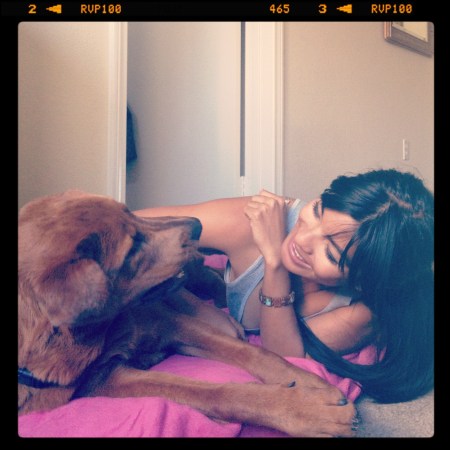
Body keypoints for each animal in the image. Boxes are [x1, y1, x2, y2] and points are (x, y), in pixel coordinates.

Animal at [18, 190, 356, 437]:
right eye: (131, 248)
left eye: (129, 211)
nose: (196, 225)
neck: (102, 330)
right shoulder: (99, 382)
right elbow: (215, 394)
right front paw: (307, 410)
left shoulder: (169, 323)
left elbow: (258, 354)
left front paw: (308, 381)